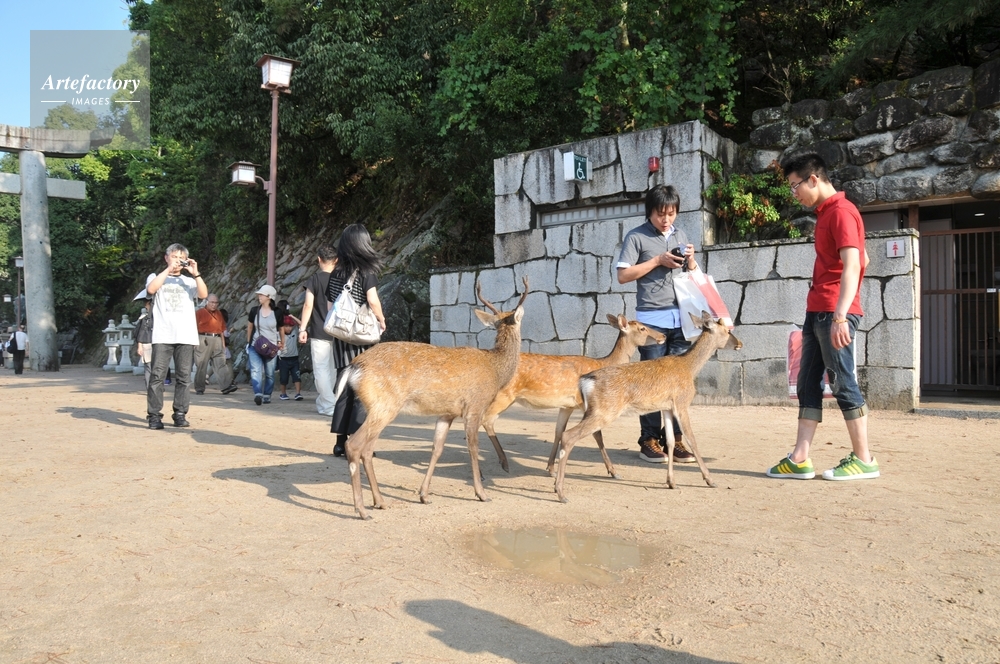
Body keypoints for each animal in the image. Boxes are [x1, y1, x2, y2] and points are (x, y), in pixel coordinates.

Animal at [335, 278, 529, 520]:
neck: (496, 371)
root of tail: (354, 367)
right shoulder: (474, 406)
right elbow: (473, 447)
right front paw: (482, 493)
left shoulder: (447, 413)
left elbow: (437, 449)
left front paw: (424, 495)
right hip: (384, 405)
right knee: (354, 445)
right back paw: (362, 510)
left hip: (377, 408)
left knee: (367, 450)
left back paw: (379, 501)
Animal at [480, 314, 666, 477]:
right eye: (642, 328)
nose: (663, 335)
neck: (604, 362)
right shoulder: (587, 404)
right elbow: (597, 435)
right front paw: (613, 472)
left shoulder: (566, 406)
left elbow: (558, 432)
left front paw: (551, 469)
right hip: (504, 395)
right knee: (485, 420)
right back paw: (500, 465)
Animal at [552, 311, 742, 503]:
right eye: (727, 330)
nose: (740, 344)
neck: (689, 368)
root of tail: (585, 381)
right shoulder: (681, 402)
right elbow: (692, 439)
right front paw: (710, 480)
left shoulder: (666, 406)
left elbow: (671, 441)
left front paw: (671, 482)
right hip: (604, 411)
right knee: (568, 435)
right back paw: (561, 493)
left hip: (592, 410)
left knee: (572, 432)